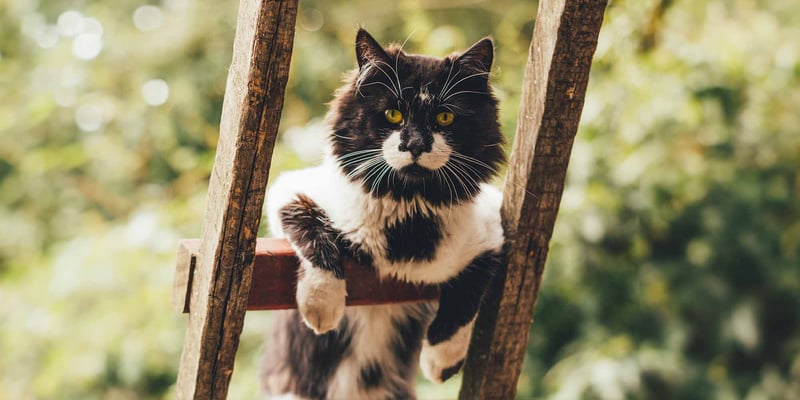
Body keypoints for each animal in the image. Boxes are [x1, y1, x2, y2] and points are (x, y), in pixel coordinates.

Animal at [260, 28, 504, 400]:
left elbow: (467, 295)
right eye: (393, 115)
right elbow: (316, 236)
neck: (408, 209)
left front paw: (442, 360)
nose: (415, 145)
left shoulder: (491, 231)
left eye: (444, 117)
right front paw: (321, 306)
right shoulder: (291, 191)